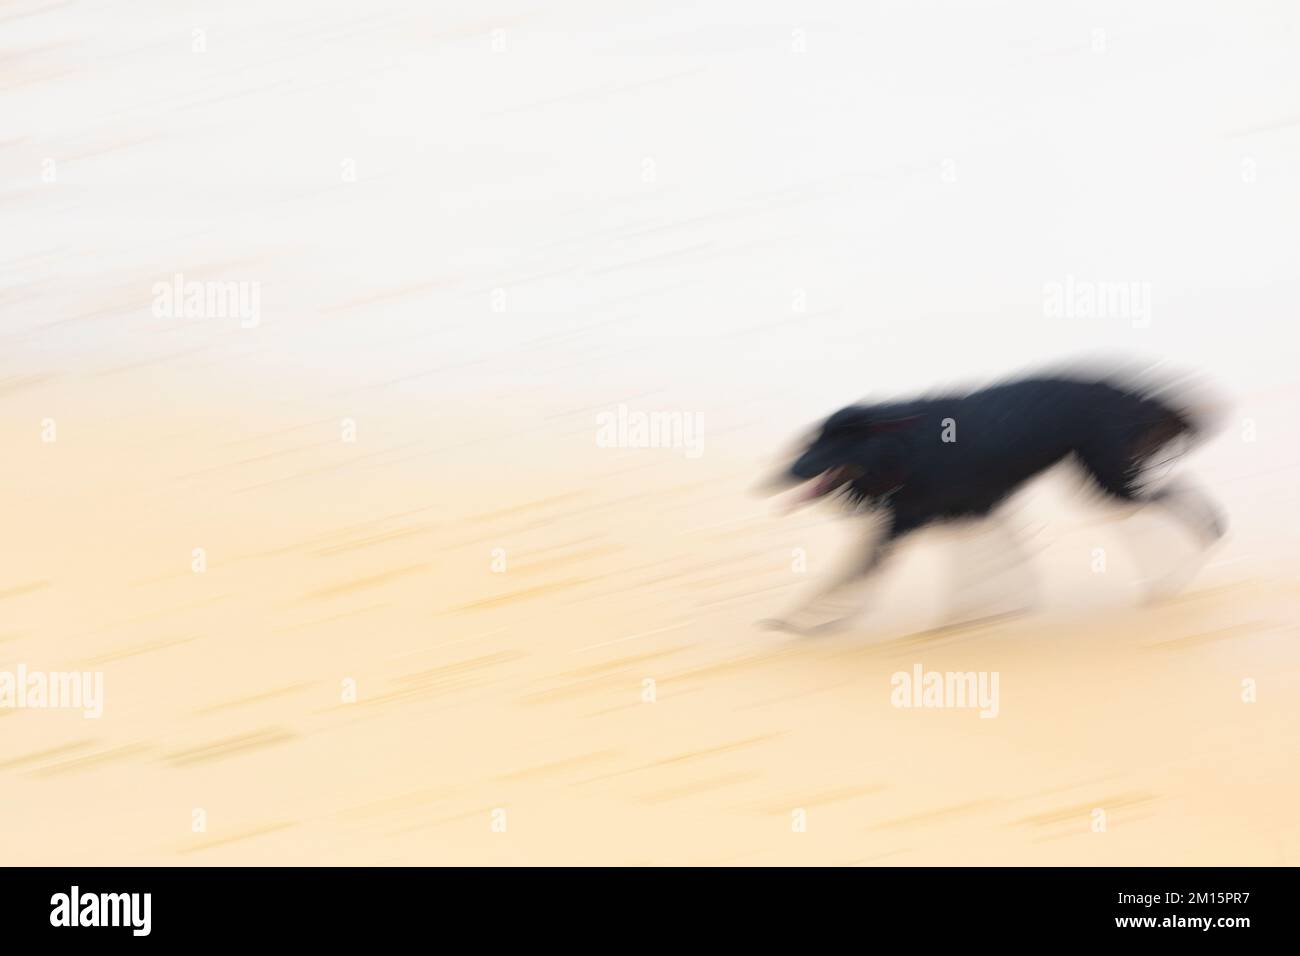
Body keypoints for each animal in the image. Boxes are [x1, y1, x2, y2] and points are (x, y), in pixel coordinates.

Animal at [759, 369, 1216, 634]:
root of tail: (1126, 391)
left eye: (832, 443)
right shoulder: (967, 511)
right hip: (1103, 478)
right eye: (810, 441)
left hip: (1108, 480)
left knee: (1178, 499)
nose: (778, 478)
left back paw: (1187, 560)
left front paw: (802, 621)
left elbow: (849, 576)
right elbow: (991, 568)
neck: (901, 449)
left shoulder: (907, 522)